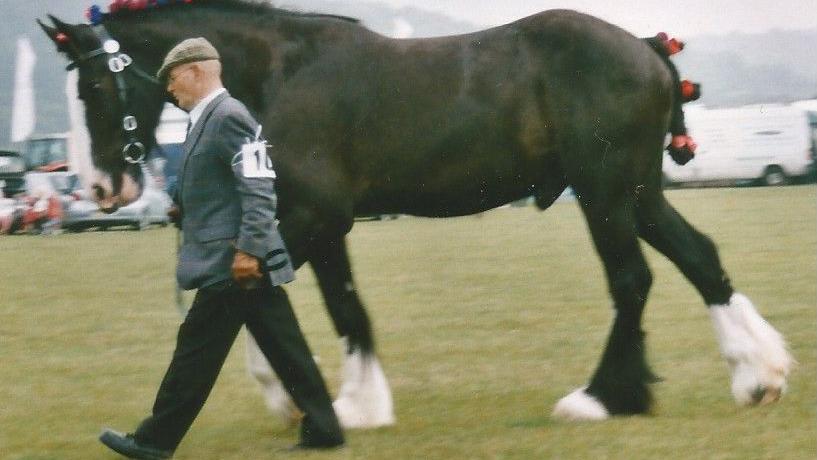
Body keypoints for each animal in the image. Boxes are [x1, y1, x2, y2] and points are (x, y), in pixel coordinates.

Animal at [38, 0, 792, 430]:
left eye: (96, 82)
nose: (102, 186)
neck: (283, 72)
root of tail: (646, 49)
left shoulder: (313, 216)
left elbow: (260, 299)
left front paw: (317, 400)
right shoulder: (314, 222)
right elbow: (339, 306)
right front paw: (345, 401)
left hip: (604, 193)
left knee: (632, 280)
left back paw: (603, 397)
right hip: (637, 194)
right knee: (699, 257)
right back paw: (757, 374)